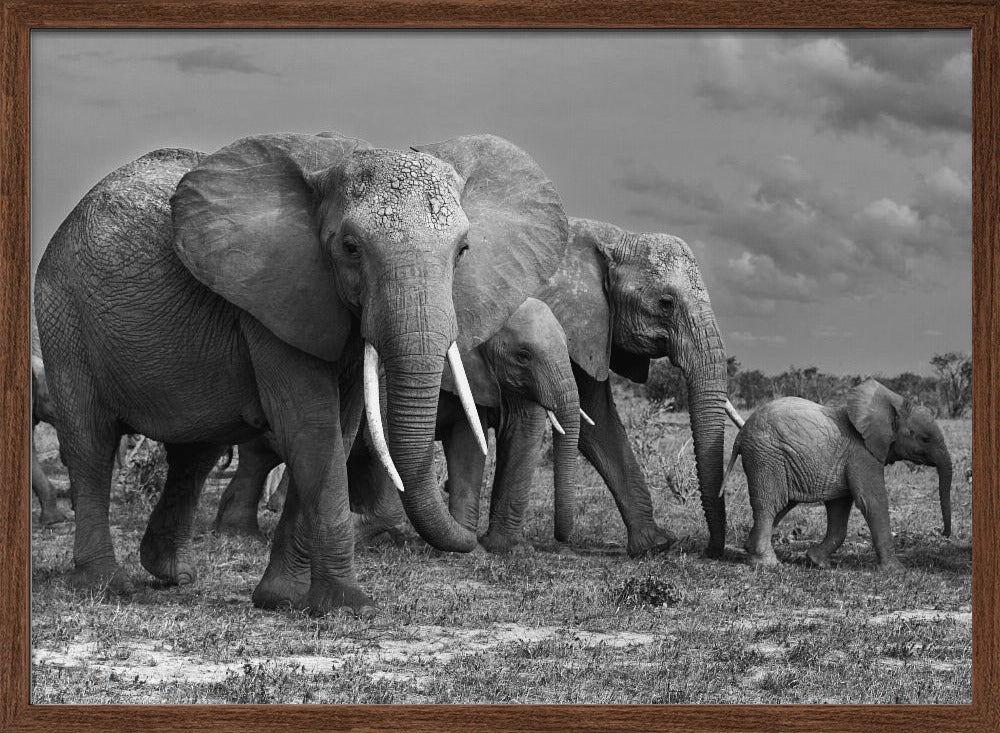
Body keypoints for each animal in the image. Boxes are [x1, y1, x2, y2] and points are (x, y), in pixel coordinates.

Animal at [214, 297, 585, 554]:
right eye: (522, 356)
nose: (562, 541)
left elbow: (469, 446)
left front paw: (475, 548)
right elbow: (385, 443)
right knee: (261, 456)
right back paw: (240, 532)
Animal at [536, 218, 734, 558]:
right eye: (666, 304)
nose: (710, 551)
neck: (610, 239)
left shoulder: (590, 327)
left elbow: (596, 422)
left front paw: (655, 545)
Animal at [720, 379, 953, 571]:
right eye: (924, 439)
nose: (944, 533)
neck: (891, 404)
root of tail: (741, 434)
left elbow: (839, 508)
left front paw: (817, 562)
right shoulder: (862, 454)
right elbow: (872, 502)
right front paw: (897, 571)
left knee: (783, 504)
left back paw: (749, 549)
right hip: (766, 456)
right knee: (770, 503)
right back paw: (768, 563)